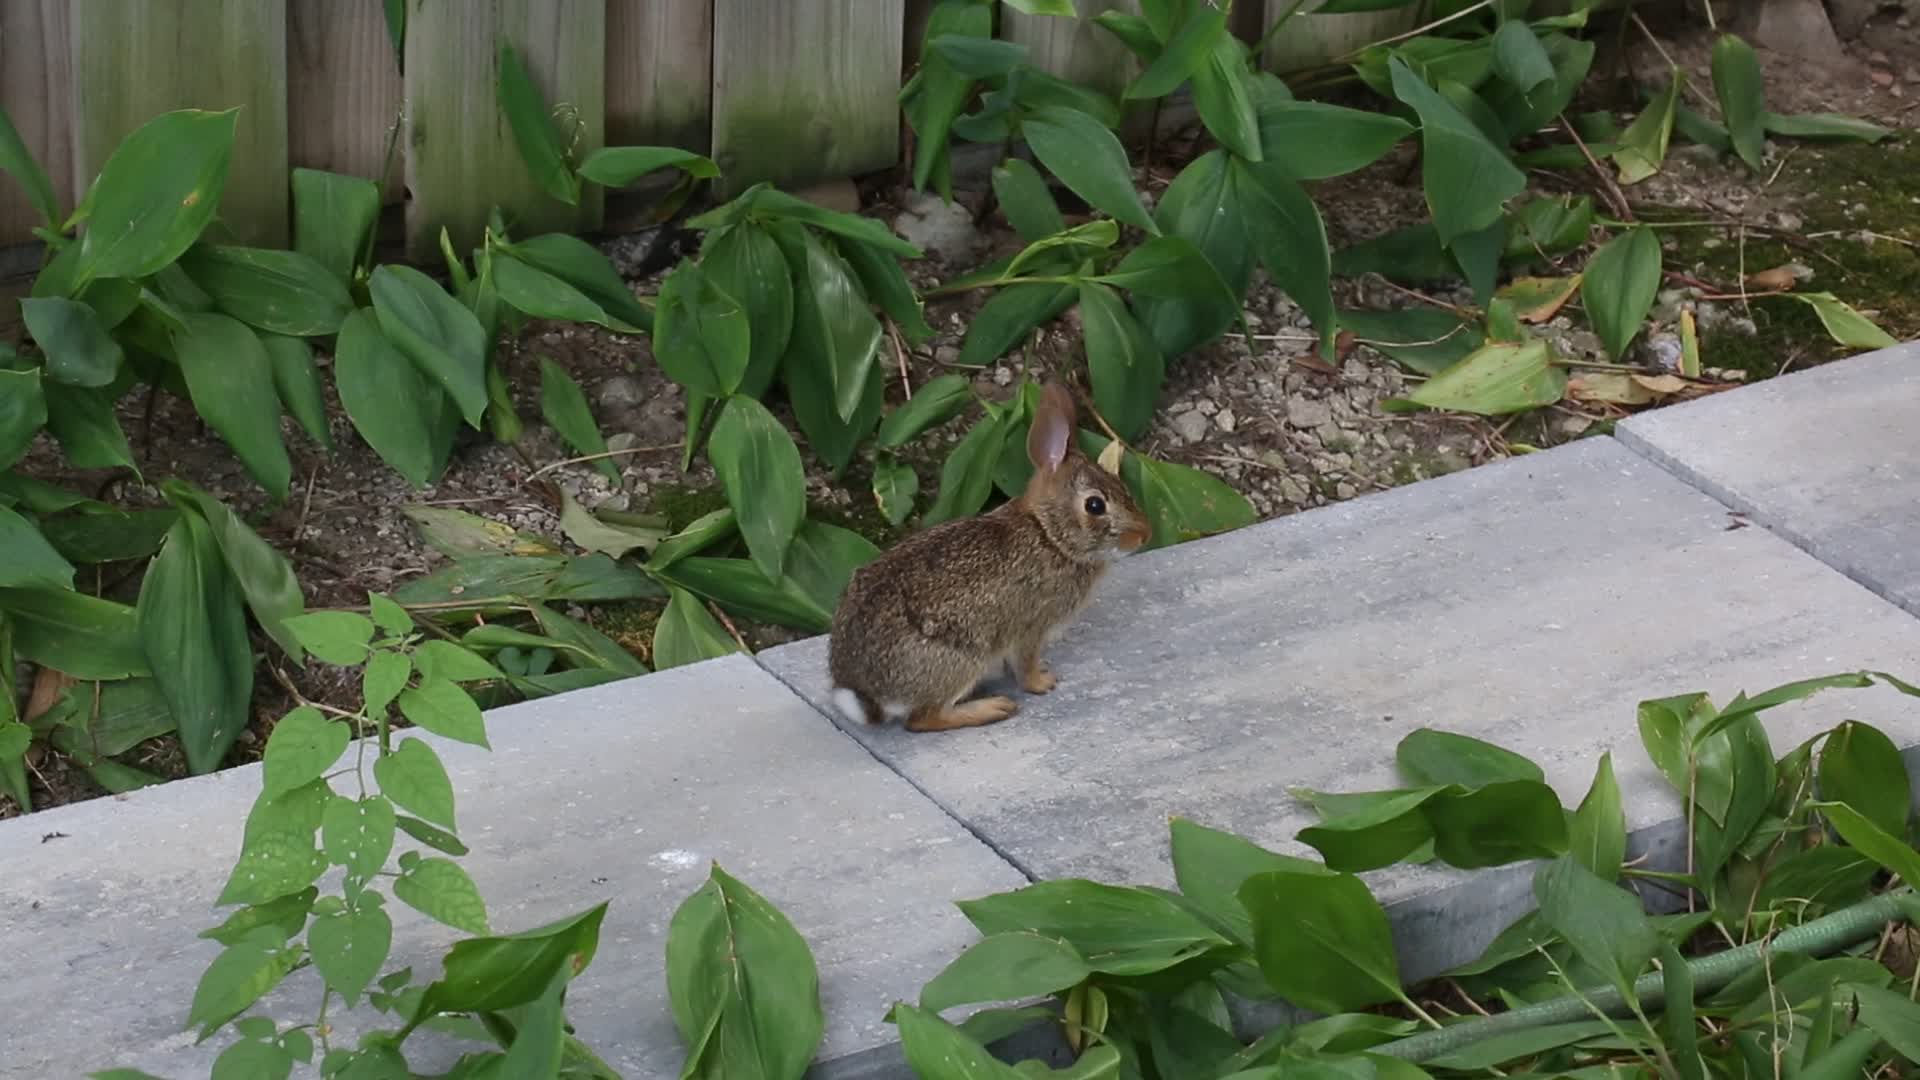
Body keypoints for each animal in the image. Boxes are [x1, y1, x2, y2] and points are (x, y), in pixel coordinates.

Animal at [827, 382, 1151, 733]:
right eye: (1095, 505)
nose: (1144, 534)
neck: (1049, 535)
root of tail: (864, 694)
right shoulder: (1032, 626)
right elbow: (1025, 664)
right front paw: (1042, 682)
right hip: (961, 661)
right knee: (922, 719)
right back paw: (993, 708)